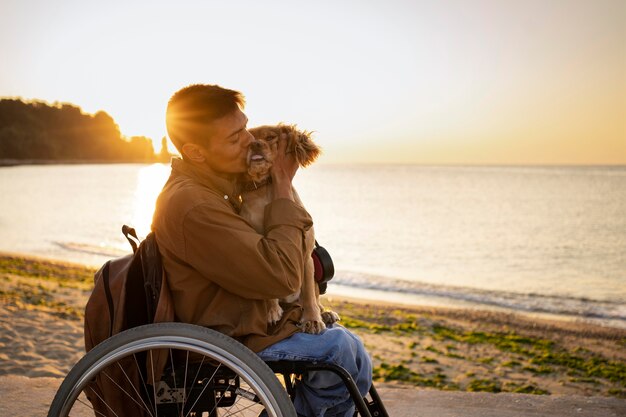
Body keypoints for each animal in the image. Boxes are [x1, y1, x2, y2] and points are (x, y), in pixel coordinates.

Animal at [239, 122, 336, 332]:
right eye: (248, 138)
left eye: (270, 137)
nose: (255, 145)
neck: (267, 190)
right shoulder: (261, 256)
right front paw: (271, 311)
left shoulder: (305, 255)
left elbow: (309, 294)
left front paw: (312, 319)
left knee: (314, 297)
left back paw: (324, 313)